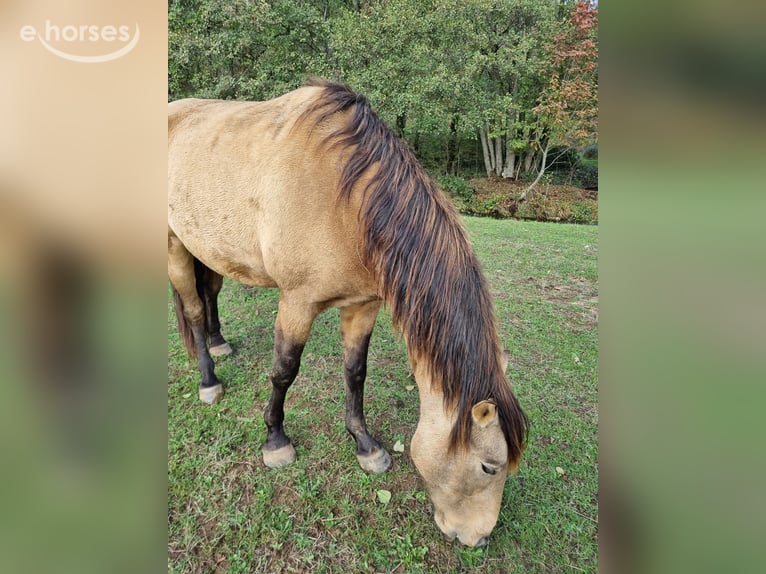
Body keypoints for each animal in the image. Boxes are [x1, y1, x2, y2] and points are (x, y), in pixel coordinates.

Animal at [168, 79, 529, 547]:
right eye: (489, 466)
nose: (478, 539)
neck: (346, 199)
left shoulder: (363, 305)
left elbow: (356, 372)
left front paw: (365, 445)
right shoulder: (297, 303)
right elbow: (284, 371)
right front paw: (275, 441)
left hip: (208, 248)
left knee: (210, 295)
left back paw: (218, 343)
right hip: (175, 244)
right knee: (193, 309)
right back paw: (209, 380)